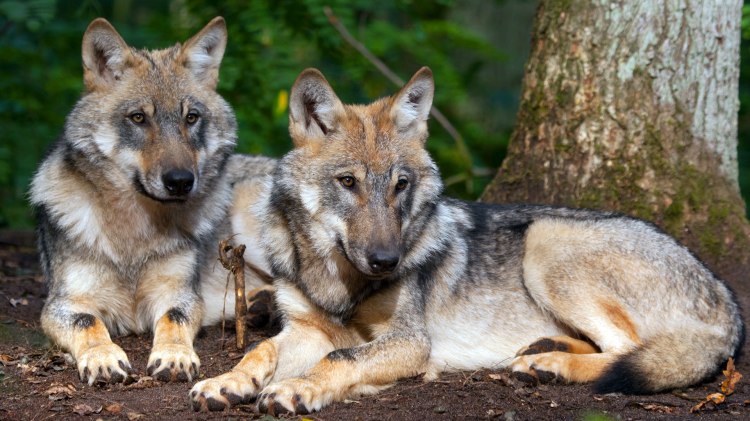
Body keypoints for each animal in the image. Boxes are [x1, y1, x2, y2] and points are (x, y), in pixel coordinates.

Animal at [30, 16, 276, 384]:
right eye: (138, 118)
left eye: (191, 118)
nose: (181, 182)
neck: (134, 231)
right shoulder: (63, 303)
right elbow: (88, 321)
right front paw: (102, 358)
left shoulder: (180, 294)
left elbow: (173, 318)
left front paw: (174, 356)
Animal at [189, 67, 748, 412]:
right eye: (348, 182)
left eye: (400, 185)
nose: (387, 260)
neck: (338, 281)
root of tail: (728, 301)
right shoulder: (308, 329)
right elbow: (258, 352)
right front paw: (225, 382)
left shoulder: (409, 343)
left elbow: (339, 360)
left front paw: (295, 390)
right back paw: (541, 352)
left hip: (546, 241)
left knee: (631, 352)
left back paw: (550, 363)